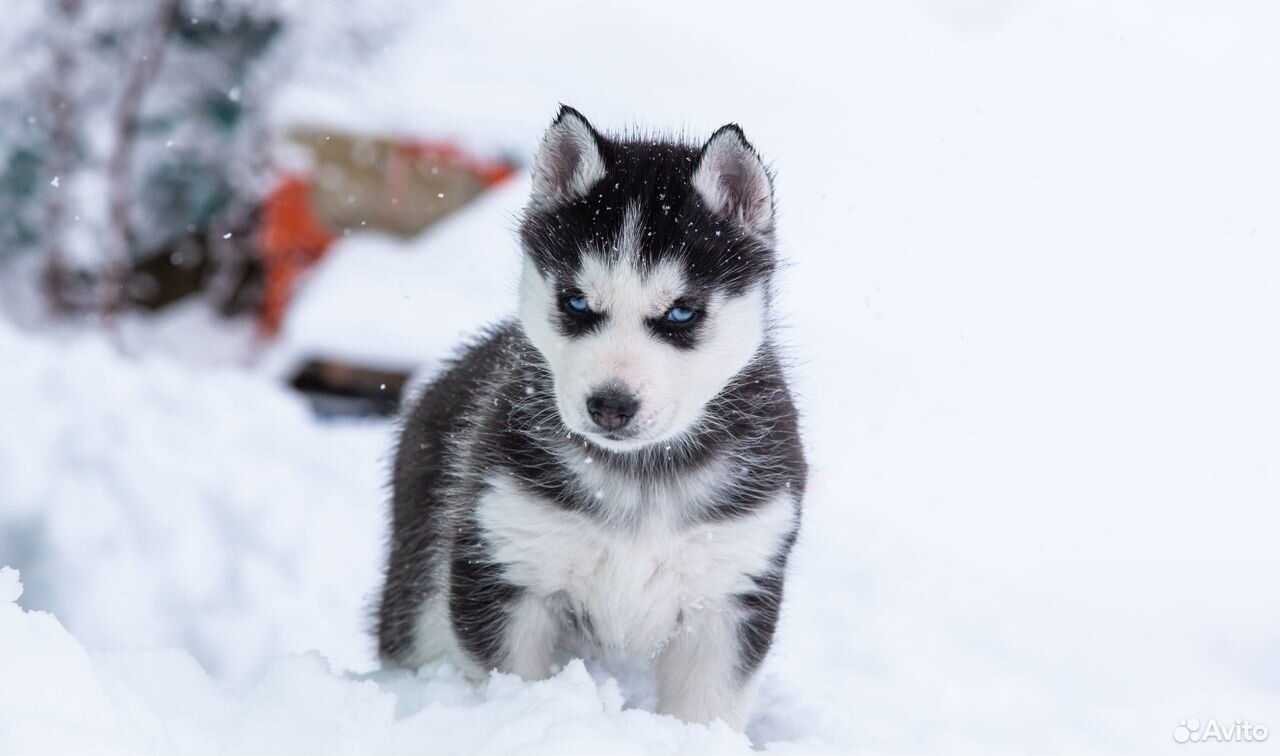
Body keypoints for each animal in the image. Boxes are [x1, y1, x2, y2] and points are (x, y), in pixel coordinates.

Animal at [373, 108, 803, 731]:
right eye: (576, 302)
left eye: (680, 313)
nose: (610, 405)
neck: (640, 472)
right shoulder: (505, 564)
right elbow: (512, 680)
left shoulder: (730, 590)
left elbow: (706, 711)